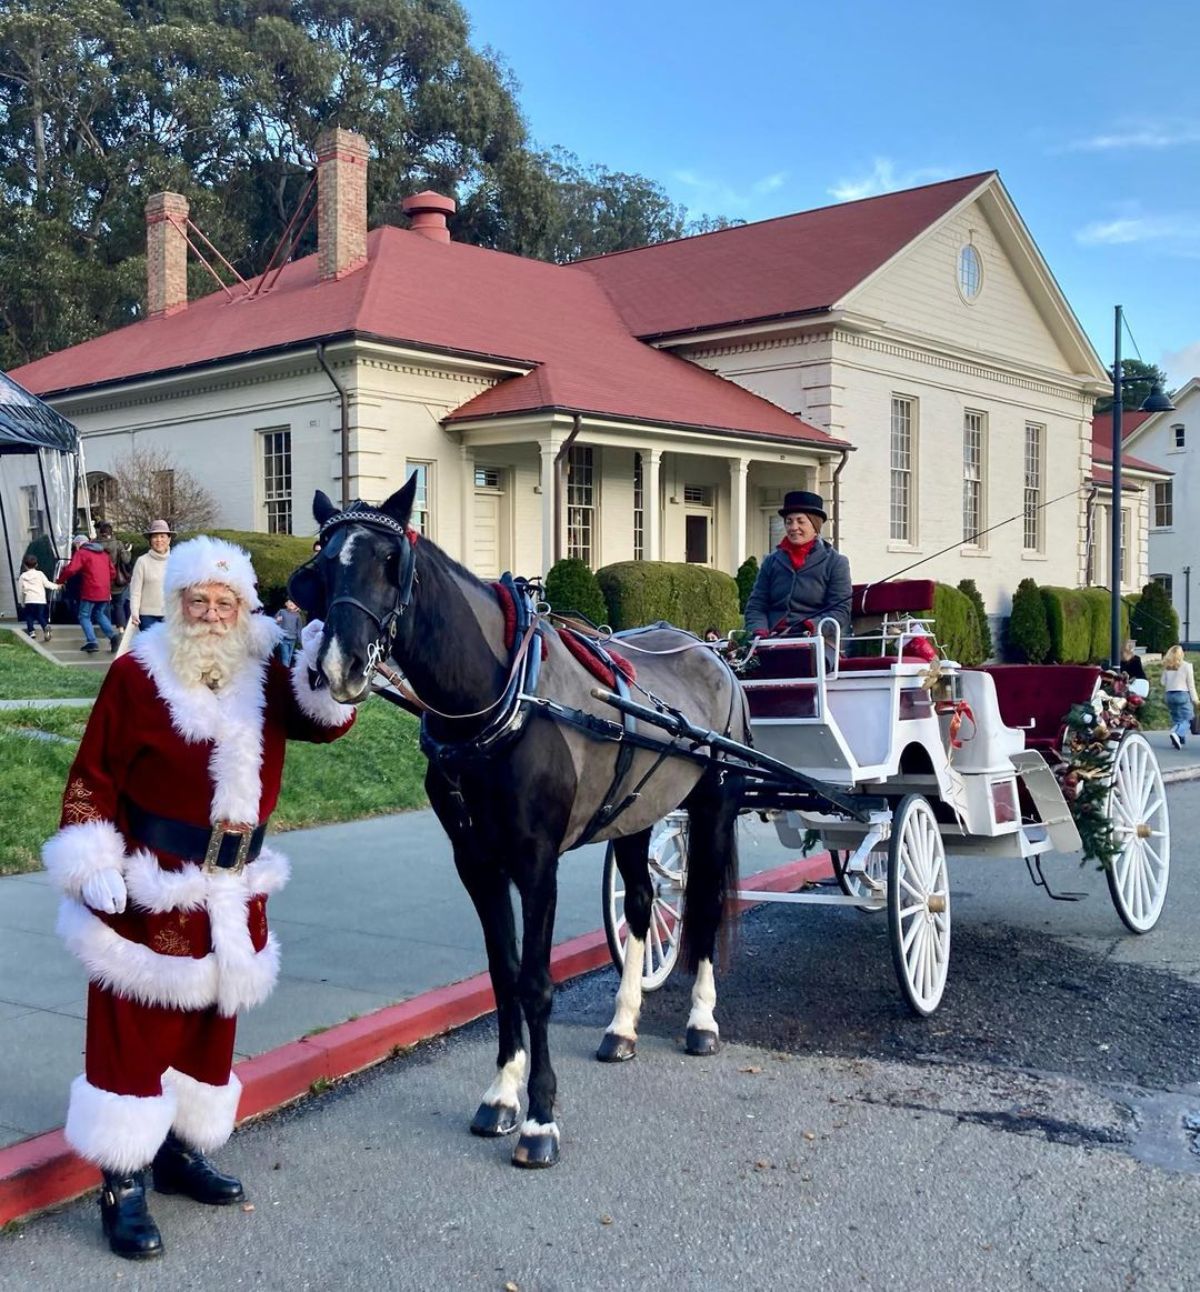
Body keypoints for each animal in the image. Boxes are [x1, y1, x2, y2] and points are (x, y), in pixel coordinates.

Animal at [290, 478, 744, 1173]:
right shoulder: (476, 862)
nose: (339, 666)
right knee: (644, 904)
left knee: (707, 901)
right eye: (320, 564)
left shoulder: (536, 862)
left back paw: (701, 1022)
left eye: (392, 562)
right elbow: (503, 973)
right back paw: (623, 1025)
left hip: (714, 806)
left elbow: (535, 983)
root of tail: (709, 650)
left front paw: (540, 1117)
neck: (498, 699)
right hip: (635, 816)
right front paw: (503, 1094)